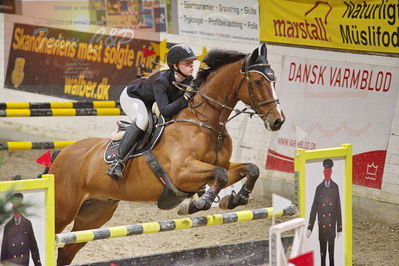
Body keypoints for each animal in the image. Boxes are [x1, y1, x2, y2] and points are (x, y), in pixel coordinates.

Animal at [51, 43, 286, 264]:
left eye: (275, 81)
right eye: (258, 82)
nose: (278, 120)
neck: (205, 123)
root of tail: (62, 154)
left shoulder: (221, 165)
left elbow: (249, 169)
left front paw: (235, 199)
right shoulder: (182, 172)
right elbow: (220, 175)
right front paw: (198, 203)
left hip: (95, 213)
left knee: (66, 252)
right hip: (63, 211)